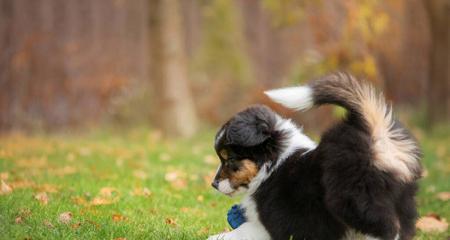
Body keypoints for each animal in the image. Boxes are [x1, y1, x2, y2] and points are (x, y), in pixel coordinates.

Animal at [207, 73, 422, 240]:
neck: (274, 163)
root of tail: (375, 132)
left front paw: (216, 236)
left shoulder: (272, 223)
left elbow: (241, 231)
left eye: (229, 159)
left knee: (384, 227)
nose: (213, 184)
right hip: (403, 199)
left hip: (354, 198)